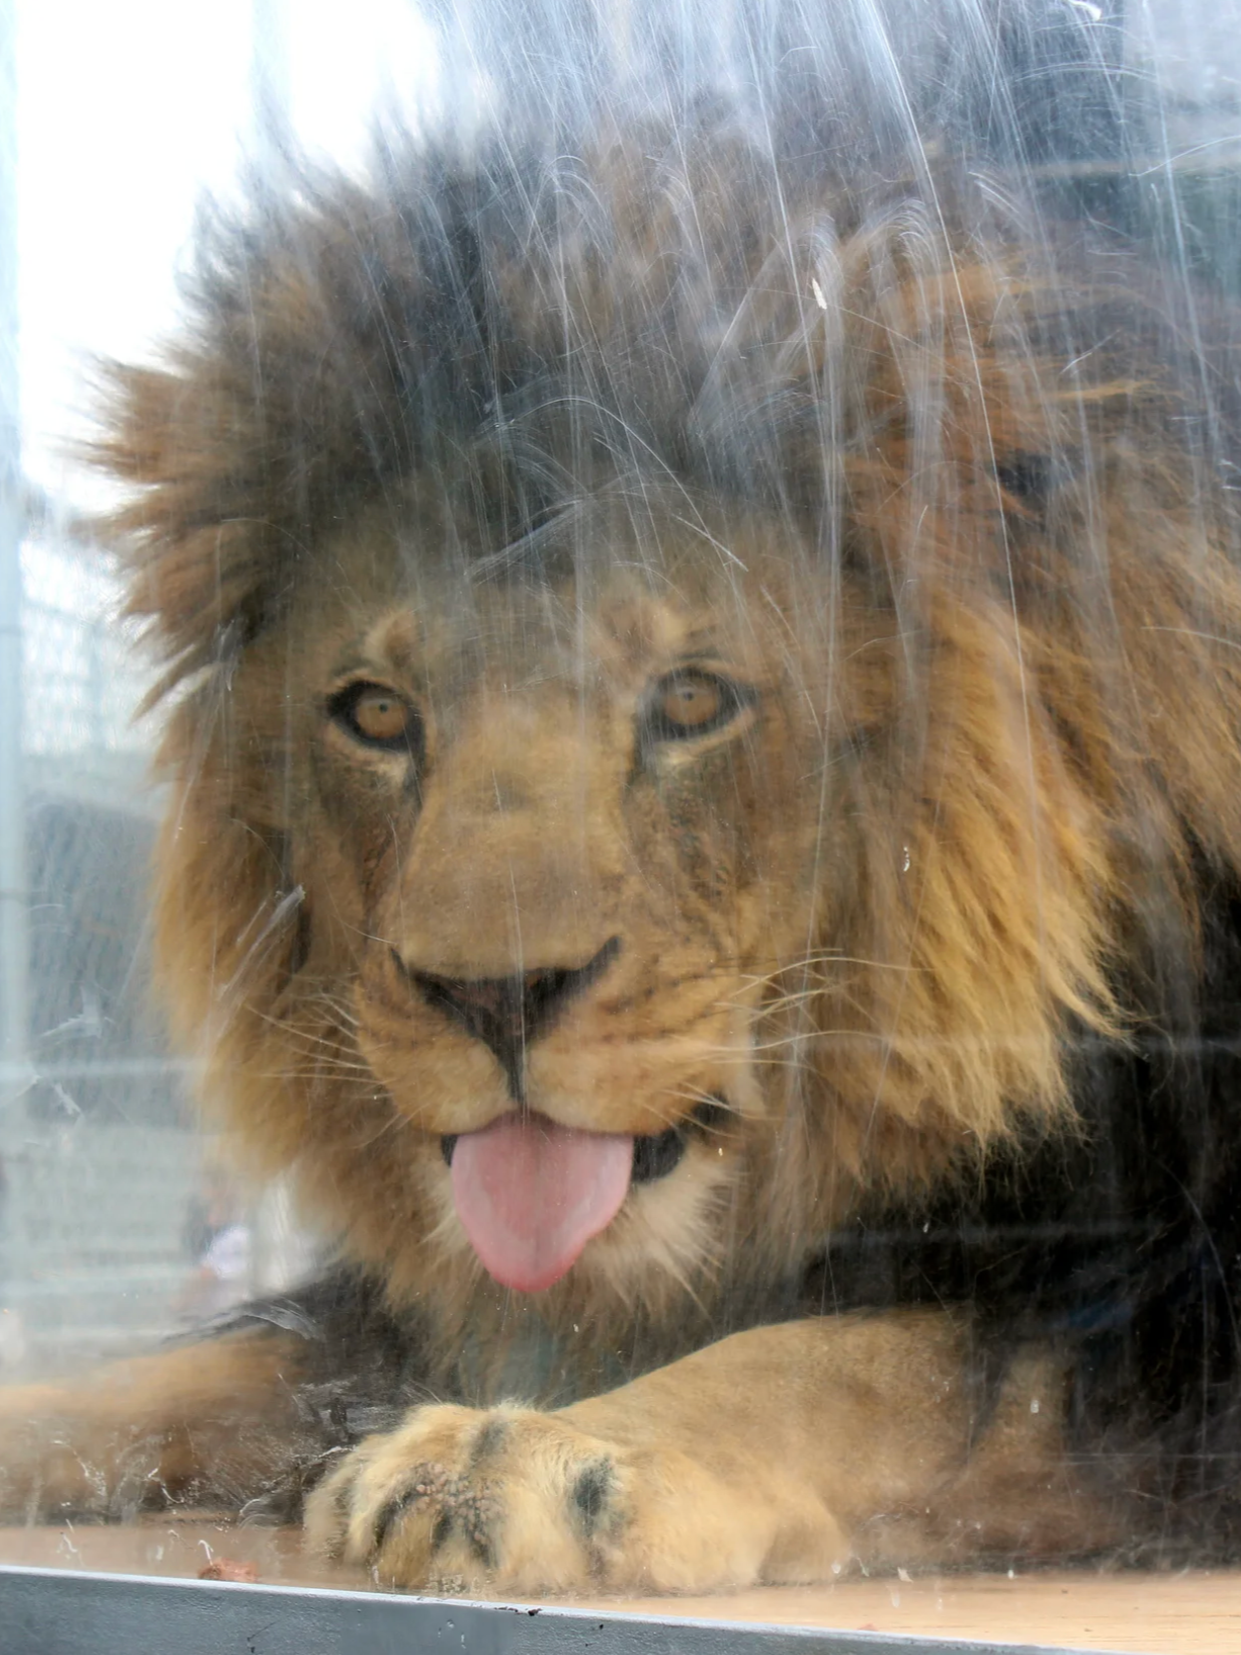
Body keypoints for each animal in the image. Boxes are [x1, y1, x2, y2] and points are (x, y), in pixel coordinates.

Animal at [3, 125, 1241, 1593]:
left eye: (693, 698)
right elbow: (182, 1368)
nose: (493, 996)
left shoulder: (1171, 1317)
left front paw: (520, 1453)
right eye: (376, 713)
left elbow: (874, 1361)